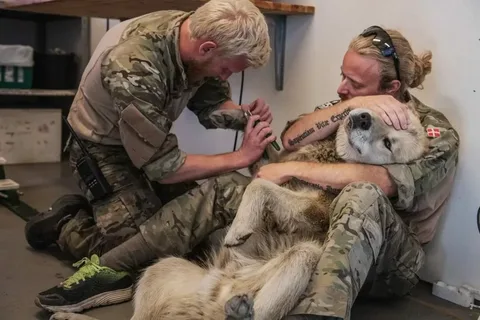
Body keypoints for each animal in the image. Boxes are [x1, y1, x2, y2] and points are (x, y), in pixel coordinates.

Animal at [50, 105, 430, 320]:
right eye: (381, 114)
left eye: (388, 143)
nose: (362, 116)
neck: (330, 157)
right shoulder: (272, 161)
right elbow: (261, 152)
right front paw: (239, 117)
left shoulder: (315, 208)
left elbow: (259, 187)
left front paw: (239, 228)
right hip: (161, 269)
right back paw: (71, 312)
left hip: (304, 256)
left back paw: (241, 312)